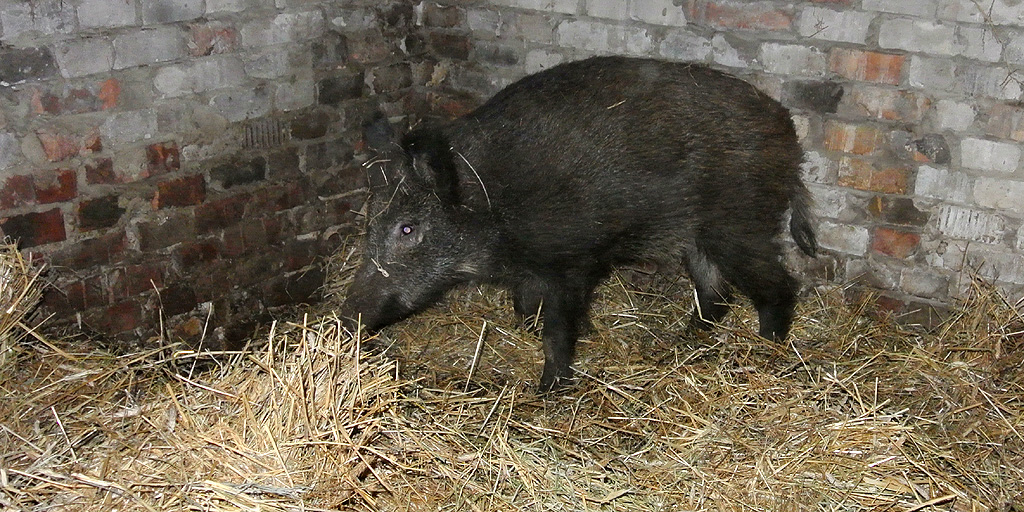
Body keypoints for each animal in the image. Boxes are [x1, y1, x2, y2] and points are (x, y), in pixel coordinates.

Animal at [341, 56, 817, 391]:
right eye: (369, 223)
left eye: (407, 228)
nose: (346, 319)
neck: (494, 208)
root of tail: (789, 134)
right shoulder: (532, 270)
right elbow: (525, 307)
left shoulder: (570, 261)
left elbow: (557, 330)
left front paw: (548, 390)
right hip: (697, 234)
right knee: (714, 292)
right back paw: (681, 344)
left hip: (740, 223)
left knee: (777, 285)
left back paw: (767, 351)